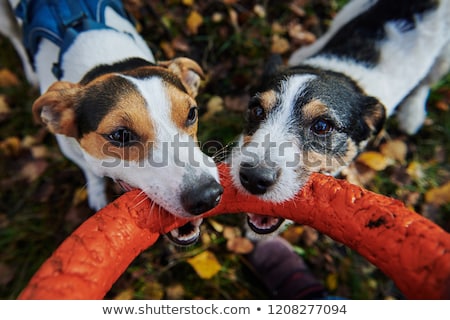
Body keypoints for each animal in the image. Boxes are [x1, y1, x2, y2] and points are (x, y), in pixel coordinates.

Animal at [0, 0, 222, 245]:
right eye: (120, 135)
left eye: (192, 113)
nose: (207, 195)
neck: (104, 60)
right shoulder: (69, 149)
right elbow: (90, 170)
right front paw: (97, 193)